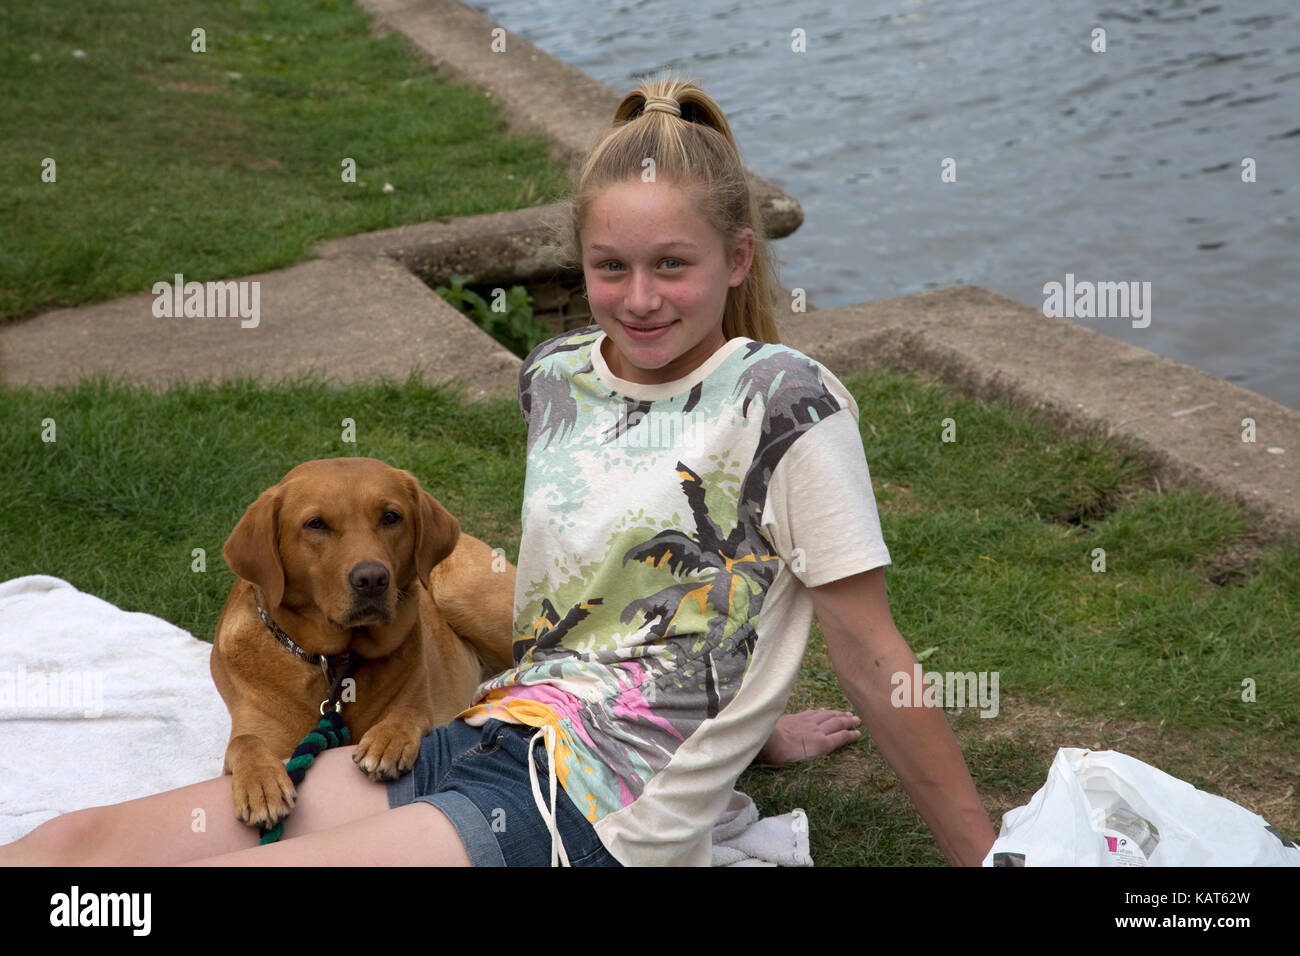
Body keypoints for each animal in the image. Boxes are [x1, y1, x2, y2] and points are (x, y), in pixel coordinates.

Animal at [210, 457, 514, 832]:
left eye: (391, 517)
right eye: (316, 524)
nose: (371, 578)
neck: (335, 660)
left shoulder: (430, 706)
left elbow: (412, 710)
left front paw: (389, 738)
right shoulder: (254, 729)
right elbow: (245, 742)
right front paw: (260, 783)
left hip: (462, 593)